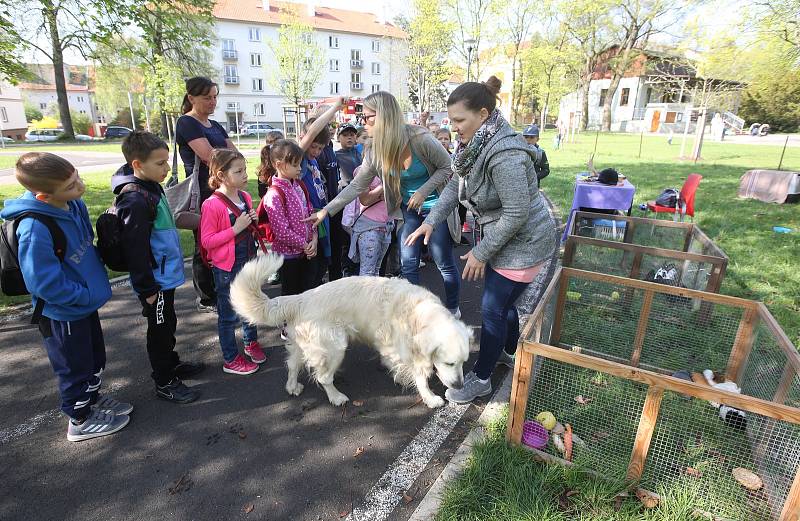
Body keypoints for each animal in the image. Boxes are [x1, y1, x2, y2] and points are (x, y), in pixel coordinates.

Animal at [230, 254, 468, 408]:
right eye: (449, 363)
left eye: (463, 362)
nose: (459, 385)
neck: (420, 313)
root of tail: (302, 297)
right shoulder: (409, 349)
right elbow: (420, 376)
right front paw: (430, 398)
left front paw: (397, 373)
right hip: (334, 347)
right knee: (324, 377)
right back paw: (336, 397)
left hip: (302, 344)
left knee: (293, 364)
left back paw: (293, 386)